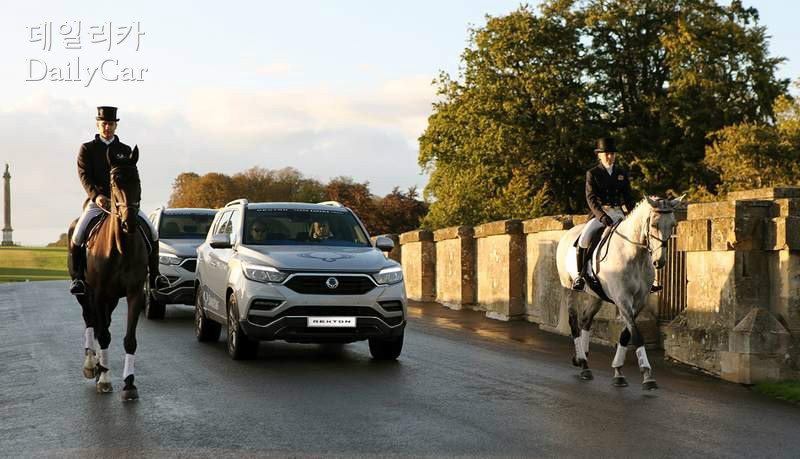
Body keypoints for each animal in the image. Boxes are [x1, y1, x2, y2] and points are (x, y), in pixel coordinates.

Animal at [68, 147, 148, 402]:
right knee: (90, 322)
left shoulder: (134, 294)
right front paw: (104, 379)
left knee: (103, 323)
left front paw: (129, 384)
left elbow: (129, 340)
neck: (121, 247)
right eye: (114, 183)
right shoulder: (98, 294)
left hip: (112, 299)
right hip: (86, 295)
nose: (130, 221)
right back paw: (91, 365)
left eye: (137, 180)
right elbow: (103, 335)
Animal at [556, 196, 680, 390]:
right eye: (654, 224)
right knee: (574, 322)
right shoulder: (623, 299)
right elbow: (636, 334)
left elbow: (626, 334)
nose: (659, 261)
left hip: (596, 295)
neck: (634, 255)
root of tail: (567, 235)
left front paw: (618, 371)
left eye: (673, 224)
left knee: (585, 320)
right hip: (569, 288)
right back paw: (583, 364)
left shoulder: (639, 301)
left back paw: (582, 358)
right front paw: (647, 374)